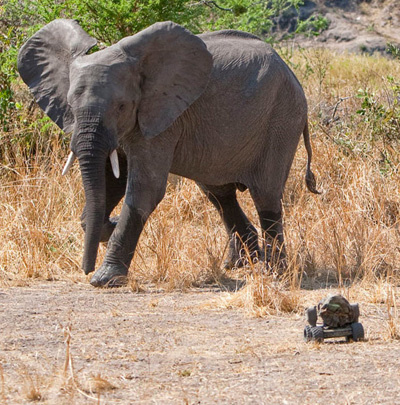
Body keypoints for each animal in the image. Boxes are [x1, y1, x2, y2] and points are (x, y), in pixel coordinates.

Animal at [17, 18, 320, 284]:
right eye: (70, 104)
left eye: (122, 106)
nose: (86, 269)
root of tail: (292, 73)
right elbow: (111, 178)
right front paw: (108, 226)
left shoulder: (164, 117)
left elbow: (145, 189)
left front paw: (105, 279)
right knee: (219, 194)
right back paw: (240, 263)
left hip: (282, 120)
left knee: (266, 195)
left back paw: (274, 272)